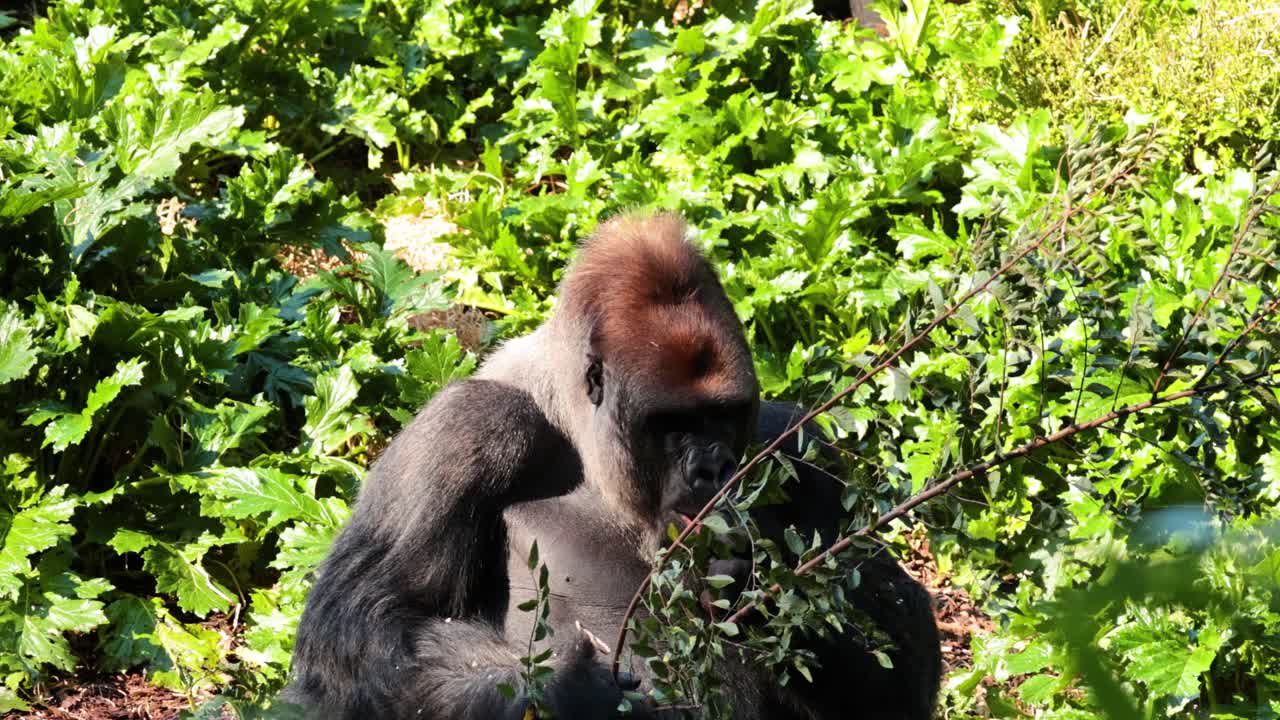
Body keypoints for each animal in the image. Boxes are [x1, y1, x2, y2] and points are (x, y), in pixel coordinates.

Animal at [284, 212, 940, 719]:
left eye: (722, 415)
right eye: (672, 424)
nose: (713, 471)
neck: (576, 430)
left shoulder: (795, 443)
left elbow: (901, 659)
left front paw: (760, 581)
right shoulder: (470, 428)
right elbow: (359, 639)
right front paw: (565, 690)